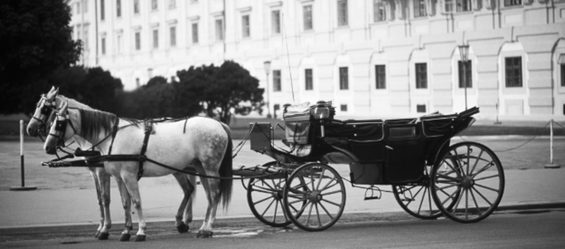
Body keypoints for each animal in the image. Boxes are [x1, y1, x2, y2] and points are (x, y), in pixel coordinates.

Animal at [43, 101, 234, 241]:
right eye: (51, 121)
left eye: (59, 123)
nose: (47, 147)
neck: (113, 137)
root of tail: (220, 124)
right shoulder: (119, 177)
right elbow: (125, 203)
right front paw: (125, 231)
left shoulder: (128, 176)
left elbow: (136, 202)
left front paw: (140, 231)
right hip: (200, 167)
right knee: (208, 196)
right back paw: (202, 227)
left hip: (210, 167)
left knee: (214, 194)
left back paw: (208, 228)